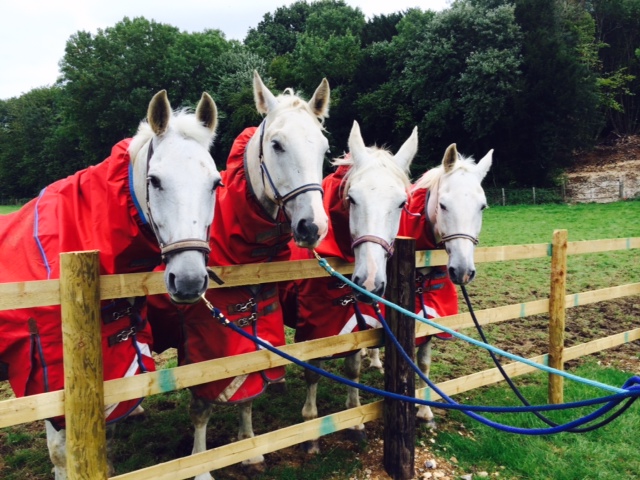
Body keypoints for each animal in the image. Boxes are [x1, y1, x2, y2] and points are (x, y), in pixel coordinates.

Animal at [147, 70, 330, 480]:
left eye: (325, 149)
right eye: (276, 144)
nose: (312, 227)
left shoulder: (256, 327)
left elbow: (249, 388)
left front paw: (249, 450)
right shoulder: (201, 344)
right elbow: (202, 406)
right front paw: (201, 467)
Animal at [280, 120, 417, 453]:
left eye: (401, 203)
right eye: (352, 199)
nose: (368, 282)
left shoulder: (353, 320)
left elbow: (352, 367)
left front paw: (355, 423)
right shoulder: (313, 326)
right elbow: (312, 371)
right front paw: (311, 433)